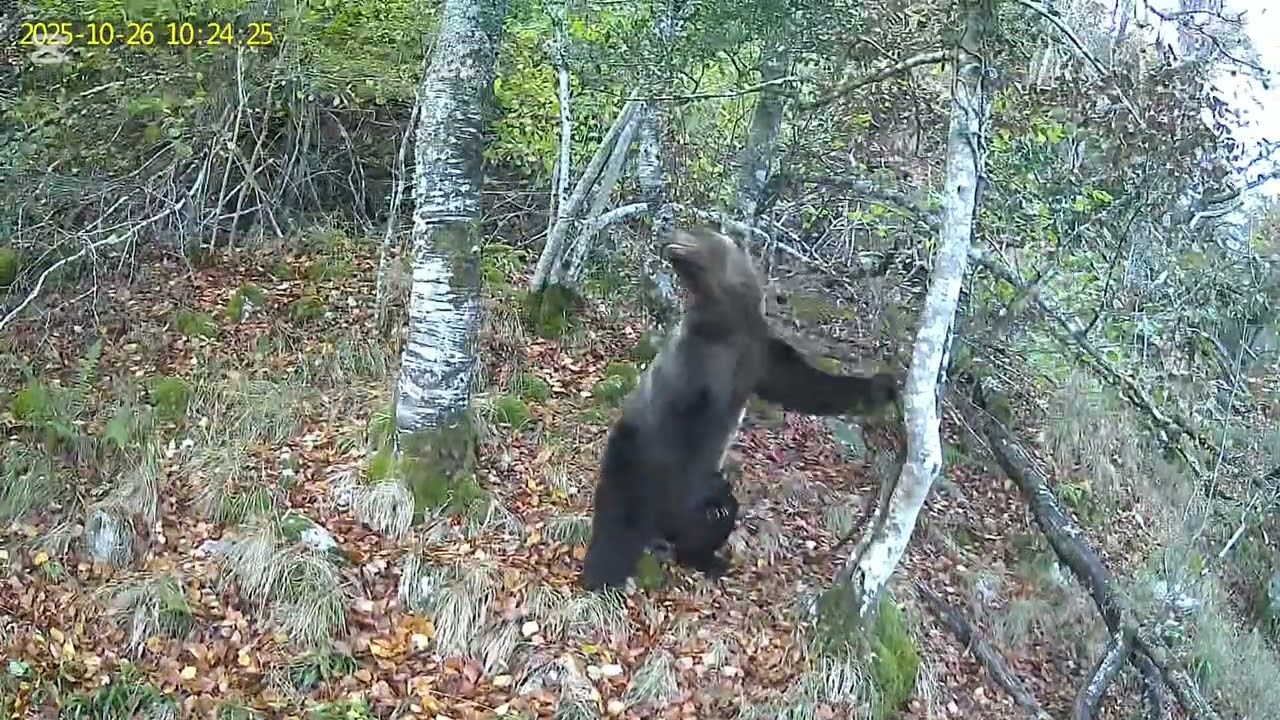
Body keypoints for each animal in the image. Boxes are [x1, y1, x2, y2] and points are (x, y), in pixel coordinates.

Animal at [579, 225, 899, 591]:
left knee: (711, 520)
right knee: (619, 518)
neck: (728, 323)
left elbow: (808, 386)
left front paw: (885, 385)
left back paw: (707, 555)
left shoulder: (760, 356)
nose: (669, 236)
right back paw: (602, 574)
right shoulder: (695, 367)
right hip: (633, 462)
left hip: (685, 510)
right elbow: (688, 415)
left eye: (697, 232)